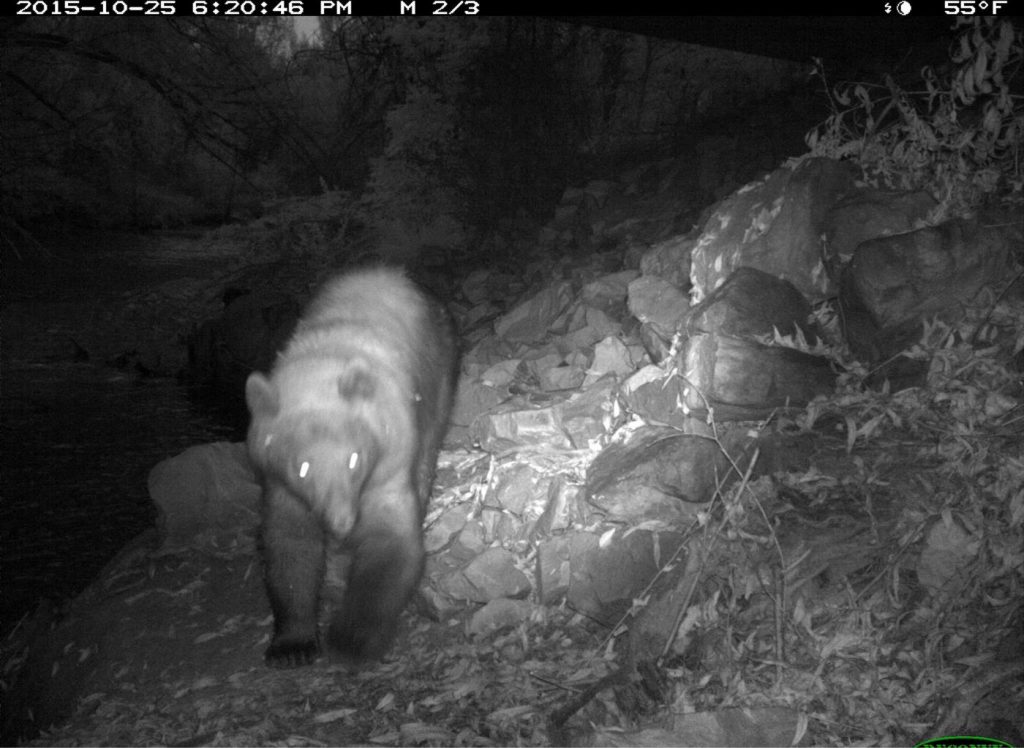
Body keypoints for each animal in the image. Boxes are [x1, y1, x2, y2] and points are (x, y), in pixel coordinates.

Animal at [243, 266, 456, 663]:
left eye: (354, 459)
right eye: (302, 467)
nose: (340, 522)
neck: (321, 365)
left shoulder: (388, 462)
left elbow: (389, 542)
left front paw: (352, 638)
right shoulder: (279, 484)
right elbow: (289, 545)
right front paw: (292, 644)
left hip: (440, 373)